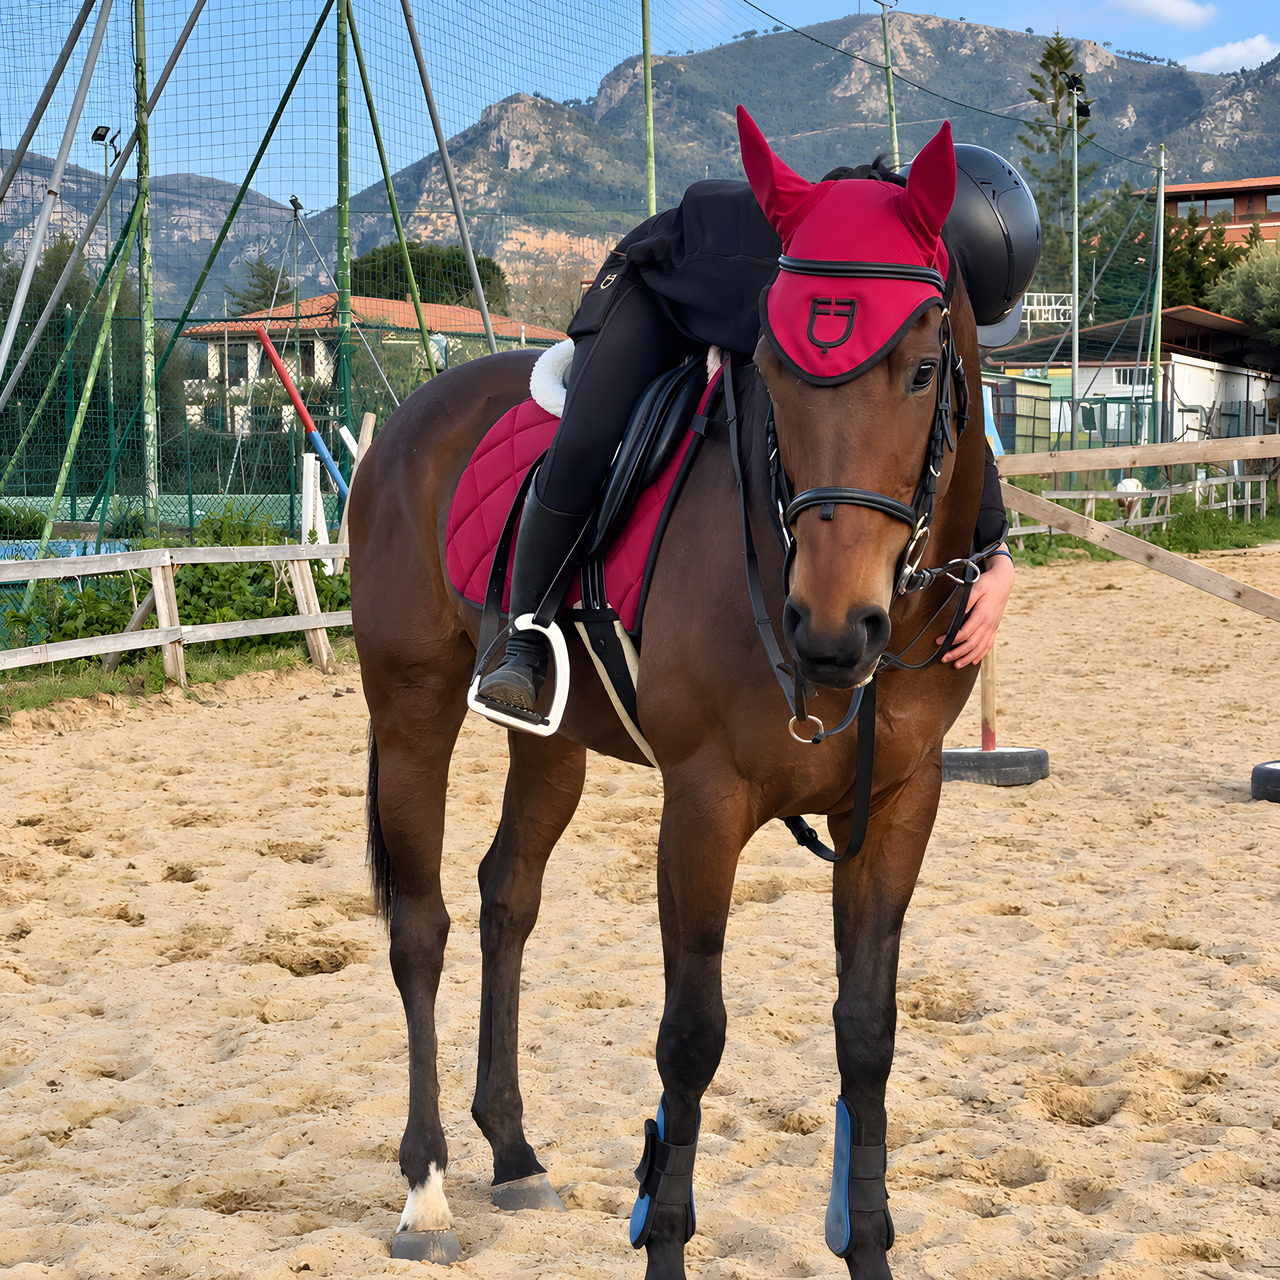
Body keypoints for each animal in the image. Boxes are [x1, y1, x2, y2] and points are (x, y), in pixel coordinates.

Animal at [348, 116, 988, 1280]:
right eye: (773, 367)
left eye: (924, 369)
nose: (831, 630)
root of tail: (409, 418)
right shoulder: (702, 804)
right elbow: (690, 1037)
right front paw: (666, 1242)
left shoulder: (898, 806)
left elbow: (865, 1034)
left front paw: (869, 1245)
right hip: (411, 708)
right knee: (421, 926)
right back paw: (426, 1188)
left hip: (549, 740)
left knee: (507, 895)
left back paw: (512, 1150)